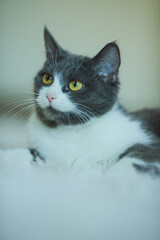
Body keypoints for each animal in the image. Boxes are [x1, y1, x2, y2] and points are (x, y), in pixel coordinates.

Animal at [28, 27, 159, 175]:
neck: (68, 131)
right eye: (47, 78)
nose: (50, 95)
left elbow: (134, 160)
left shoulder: (143, 137)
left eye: (75, 85)